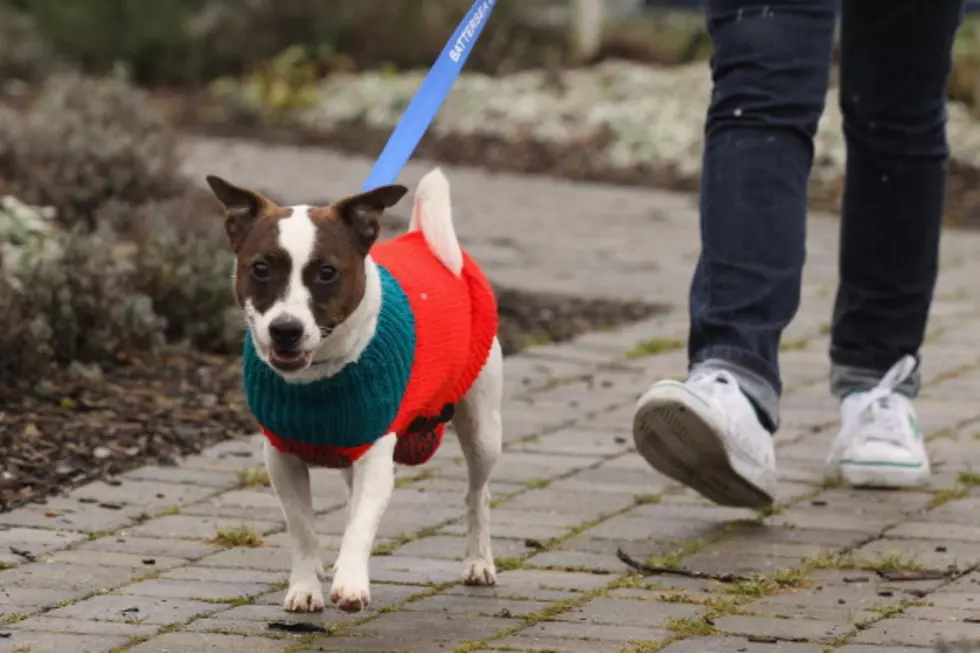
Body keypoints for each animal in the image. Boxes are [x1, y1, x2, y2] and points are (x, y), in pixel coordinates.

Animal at [204, 167, 502, 612]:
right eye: (260, 268)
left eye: (327, 272)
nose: (286, 330)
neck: (318, 375)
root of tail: (421, 238)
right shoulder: (282, 457)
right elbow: (303, 527)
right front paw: (306, 586)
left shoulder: (376, 454)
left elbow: (362, 522)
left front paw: (350, 583)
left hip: (482, 430)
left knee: (477, 494)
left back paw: (478, 561)